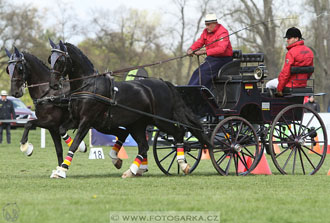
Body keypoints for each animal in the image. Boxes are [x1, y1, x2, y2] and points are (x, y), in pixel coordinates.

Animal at [47, 40, 210, 179]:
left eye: (60, 60)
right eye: (50, 59)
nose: (53, 84)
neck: (88, 85)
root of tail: (164, 83)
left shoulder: (87, 121)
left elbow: (75, 143)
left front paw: (61, 170)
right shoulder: (77, 119)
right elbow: (62, 129)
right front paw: (84, 150)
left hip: (160, 120)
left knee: (178, 133)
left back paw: (182, 164)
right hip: (137, 124)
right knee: (144, 146)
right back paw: (132, 170)